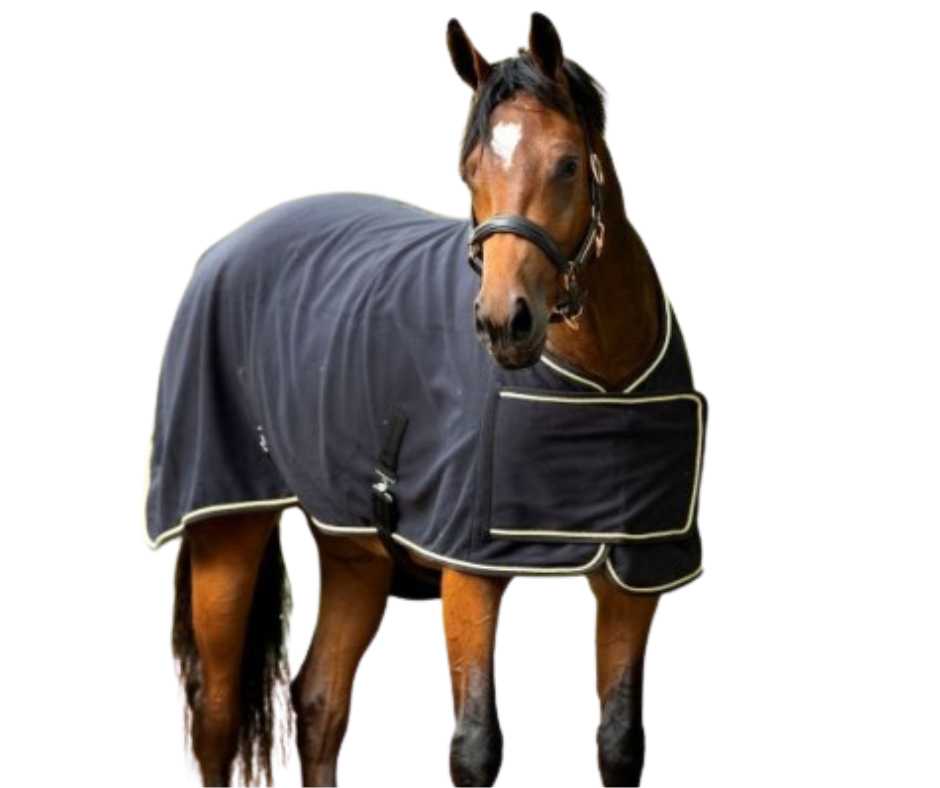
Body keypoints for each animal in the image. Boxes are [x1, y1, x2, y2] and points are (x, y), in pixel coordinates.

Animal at [147, 13, 705, 787]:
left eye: (567, 163)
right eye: (471, 172)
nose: (504, 322)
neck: (602, 376)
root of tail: (223, 250)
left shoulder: (634, 575)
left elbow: (621, 741)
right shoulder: (470, 572)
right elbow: (475, 746)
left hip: (352, 549)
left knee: (320, 699)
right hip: (226, 527)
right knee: (219, 713)